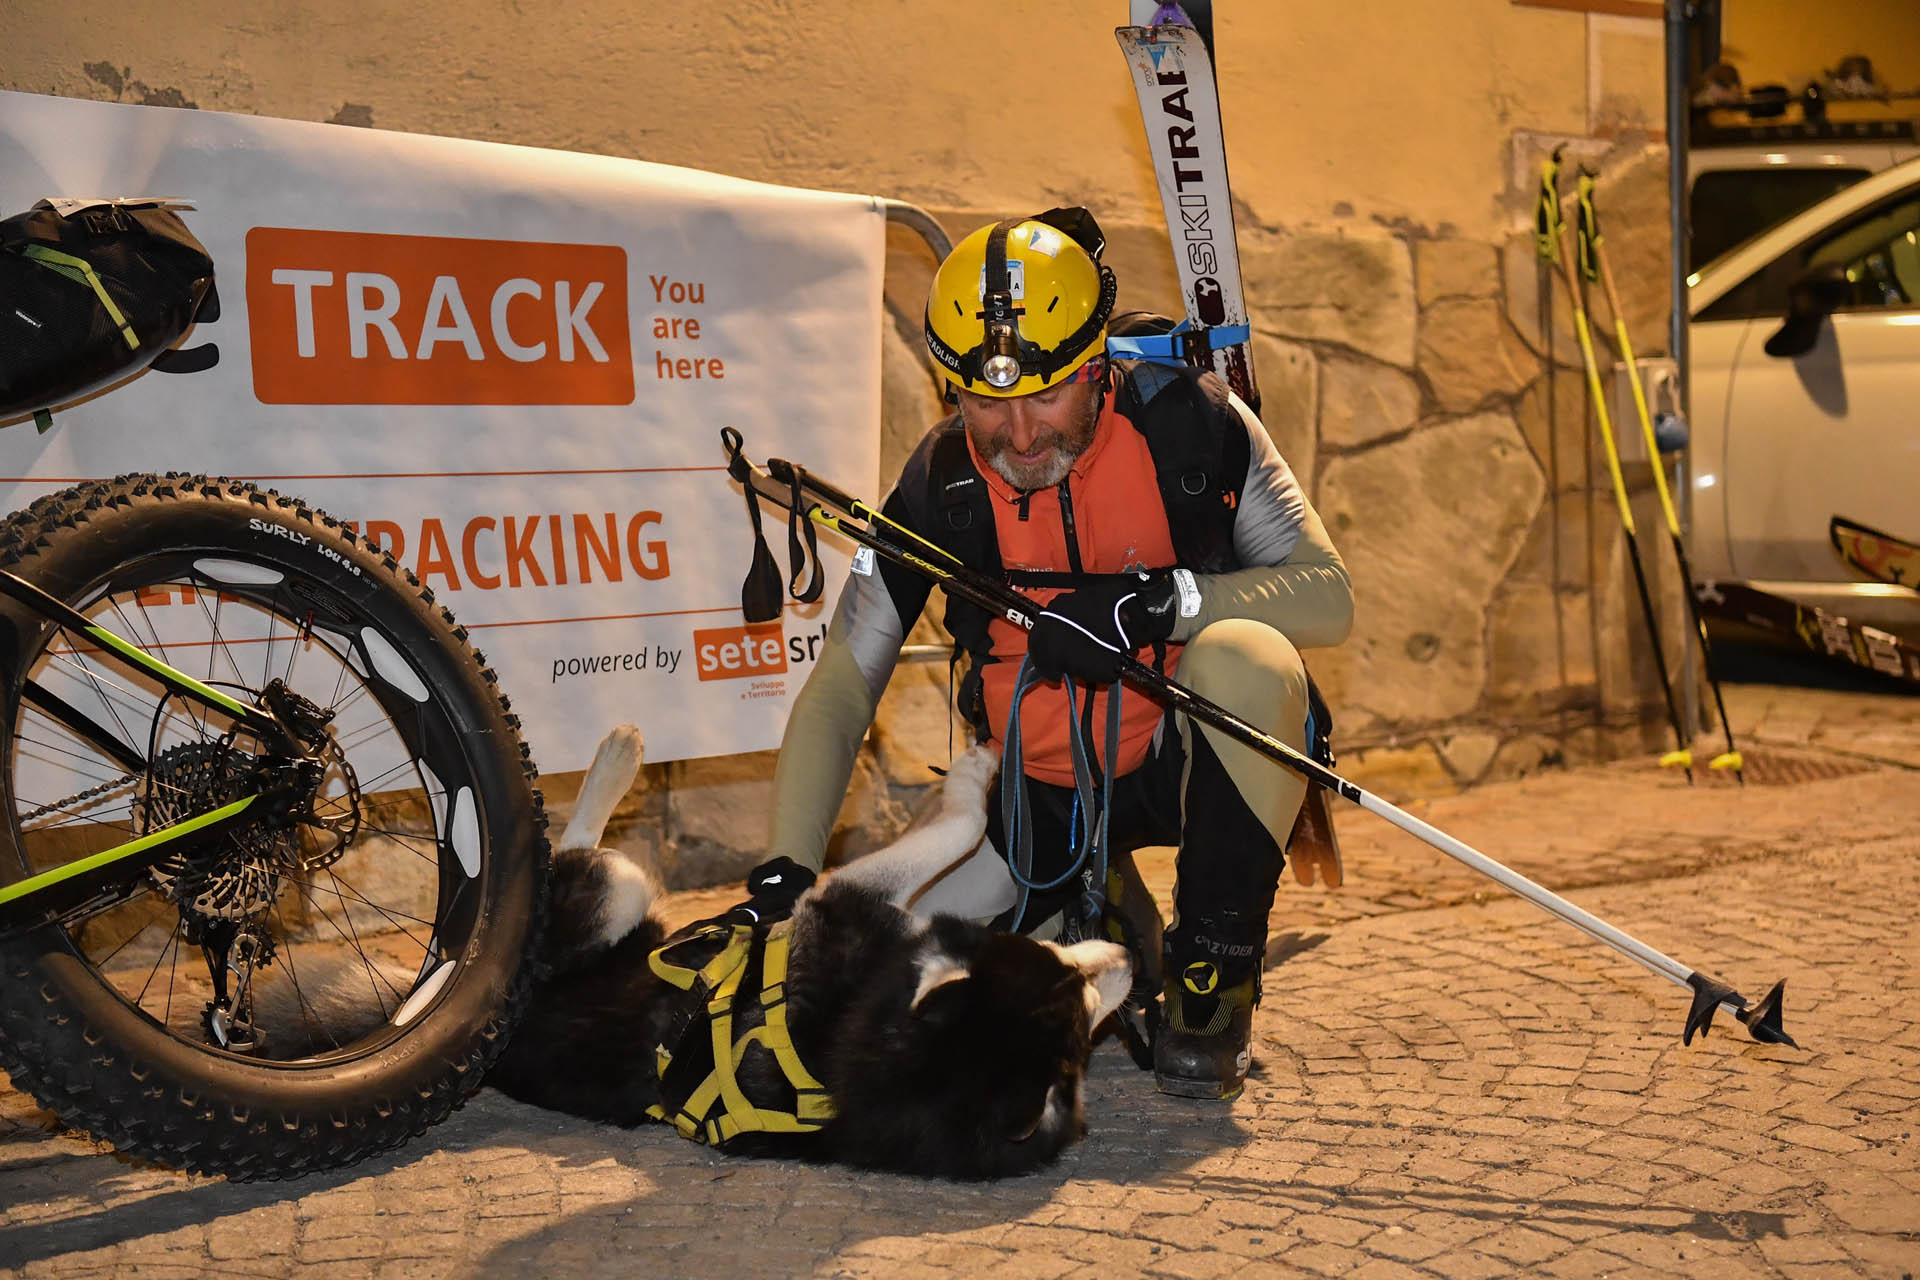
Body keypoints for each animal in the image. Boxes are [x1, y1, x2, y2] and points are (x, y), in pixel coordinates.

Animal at [486, 726, 1132, 1179]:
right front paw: (975, 774)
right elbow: (964, 828)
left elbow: (961, 829)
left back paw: (616, 755)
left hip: (612, 893)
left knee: (568, 855)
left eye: (1081, 1011)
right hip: (615, 895)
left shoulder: (841, 902)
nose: (1129, 957)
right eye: (1064, 972)